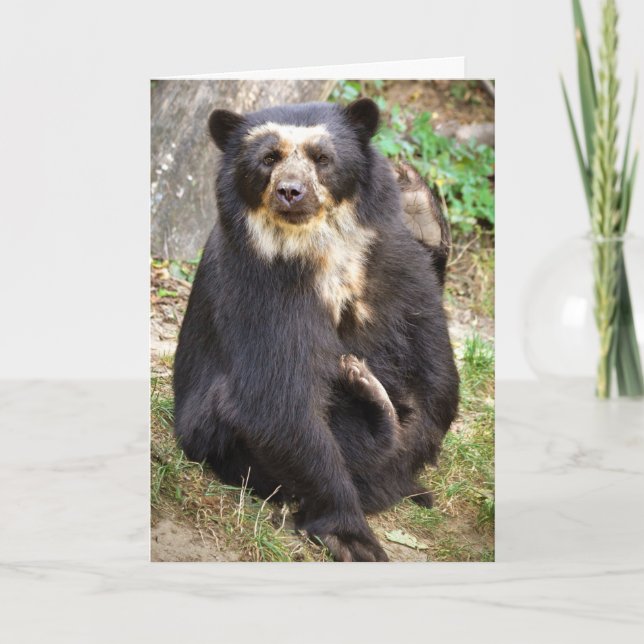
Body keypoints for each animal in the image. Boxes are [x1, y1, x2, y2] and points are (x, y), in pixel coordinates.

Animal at [173, 98, 459, 562]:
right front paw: (354, 539)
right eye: (268, 159)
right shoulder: (260, 286)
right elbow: (278, 401)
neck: (317, 246)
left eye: (322, 158)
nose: (291, 191)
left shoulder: (390, 260)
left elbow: (433, 363)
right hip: (213, 435)